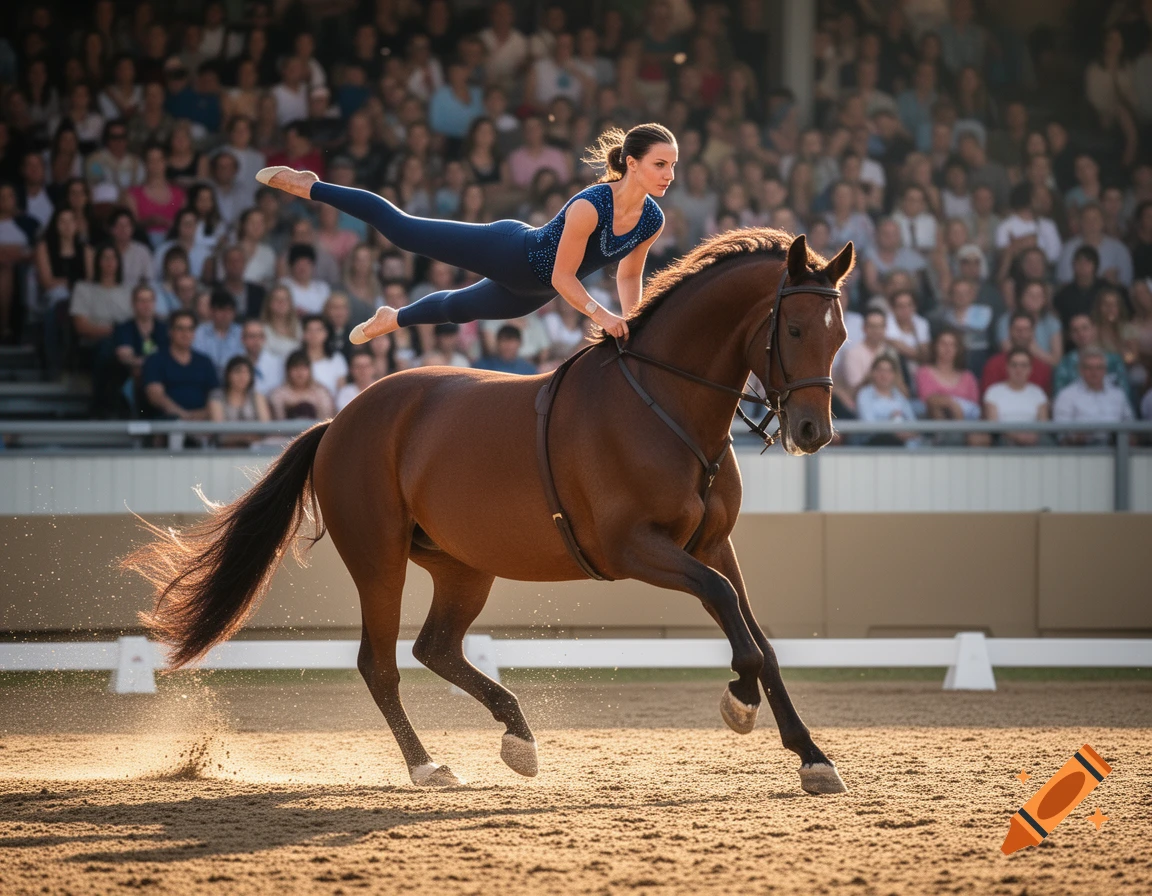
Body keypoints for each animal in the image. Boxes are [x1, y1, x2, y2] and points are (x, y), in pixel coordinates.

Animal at [125, 230, 855, 794]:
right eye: (793, 329)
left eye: (840, 334)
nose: (813, 431)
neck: (664, 403)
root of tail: (342, 420)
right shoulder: (637, 549)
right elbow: (730, 612)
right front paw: (739, 703)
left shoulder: (710, 545)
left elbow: (757, 636)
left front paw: (811, 757)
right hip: (379, 560)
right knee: (379, 663)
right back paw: (428, 767)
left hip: (462, 567)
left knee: (436, 648)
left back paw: (518, 737)